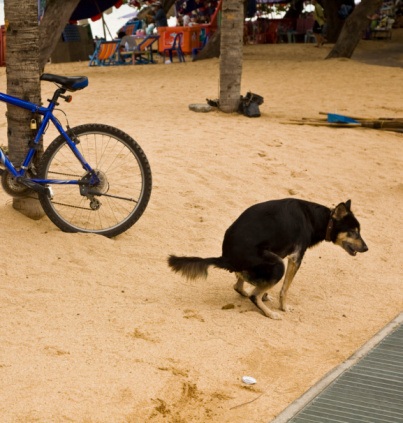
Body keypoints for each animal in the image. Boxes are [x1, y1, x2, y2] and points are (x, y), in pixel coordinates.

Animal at [168, 200, 370, 320]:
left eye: (359, 231)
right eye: (354, 232)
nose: (367, 248)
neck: (318, 219)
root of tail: (226, 257)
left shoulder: (282, 252)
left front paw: (266, 294)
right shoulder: (295, 259)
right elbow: (285, 289)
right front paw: (283, 307)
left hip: (270, 261)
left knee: (240, 285)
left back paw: (252, 291)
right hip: (278, 264)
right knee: (252, 294)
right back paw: (269, 312)